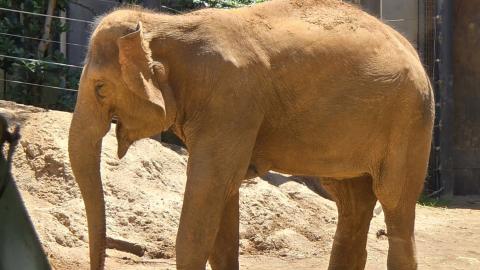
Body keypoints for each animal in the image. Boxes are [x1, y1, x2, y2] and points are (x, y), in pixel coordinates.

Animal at [68, 1, 436, 268]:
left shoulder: (232, 100)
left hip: (410, 121)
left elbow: (208, 192)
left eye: (100, 88)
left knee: (395, 203)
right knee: (351, 203)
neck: (163, 25)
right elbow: (223, 202)